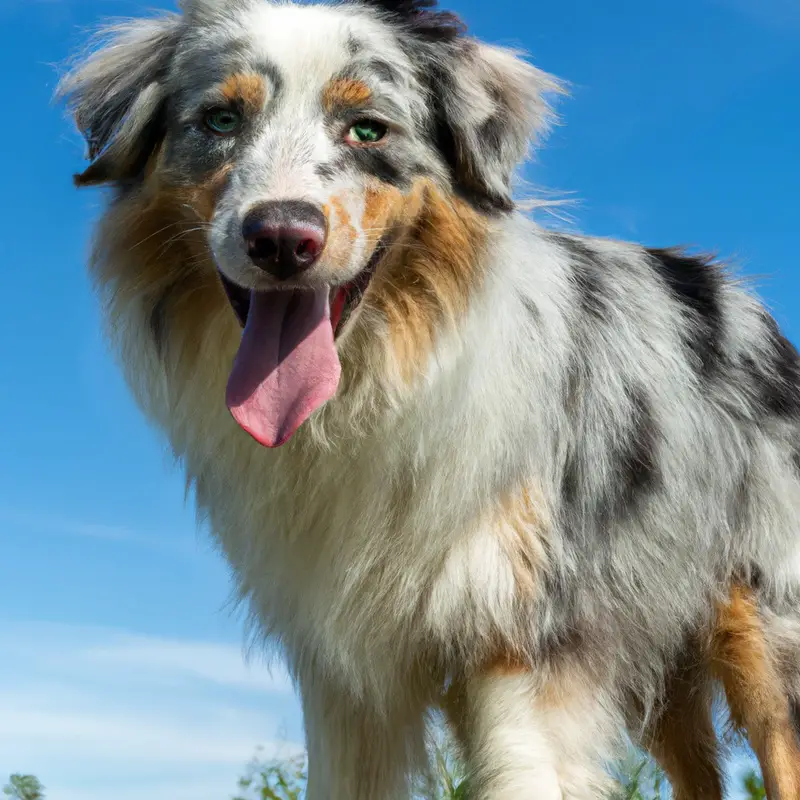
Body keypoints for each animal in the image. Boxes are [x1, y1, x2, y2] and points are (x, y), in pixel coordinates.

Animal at [59, 0, 800, 792]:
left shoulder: (520, 647)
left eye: (368, 130)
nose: (282, 239)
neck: (374, 389)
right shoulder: (341, 678)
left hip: (762, 635)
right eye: (222, 119)